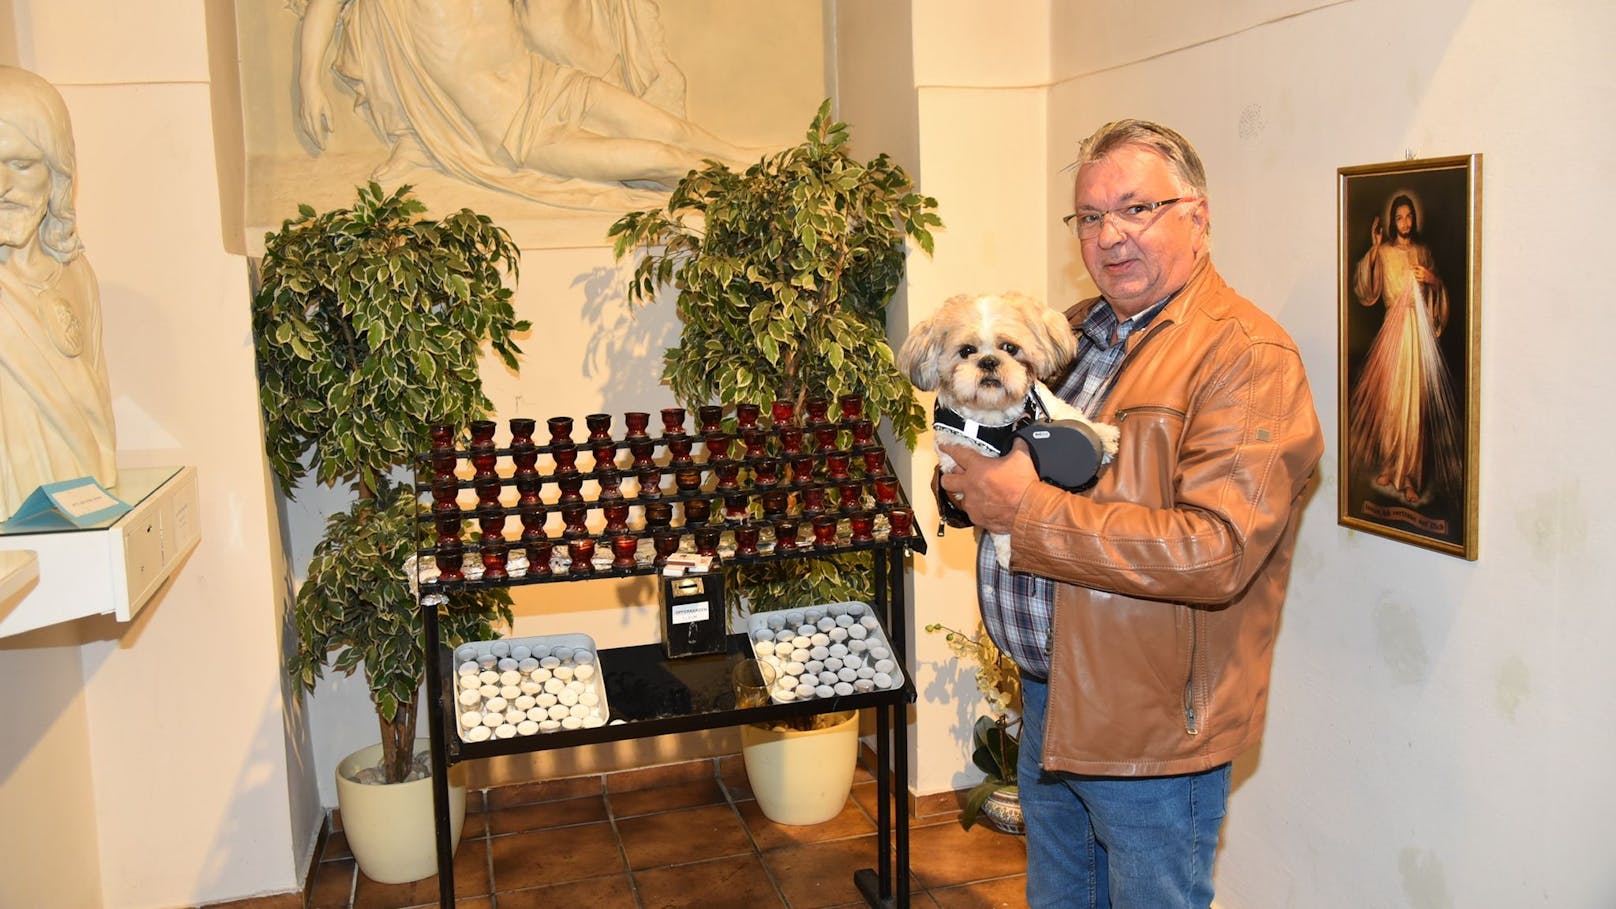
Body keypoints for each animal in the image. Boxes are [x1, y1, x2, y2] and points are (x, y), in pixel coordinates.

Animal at [892, 291, 1118, 566]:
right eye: (966, 351)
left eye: (1010, 348)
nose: (989, 362)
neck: (995, 415)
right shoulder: (962, 468)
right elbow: (996, 520)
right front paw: (1008, 548)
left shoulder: (1040, 401)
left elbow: (1066, 412)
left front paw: (1103, 436)